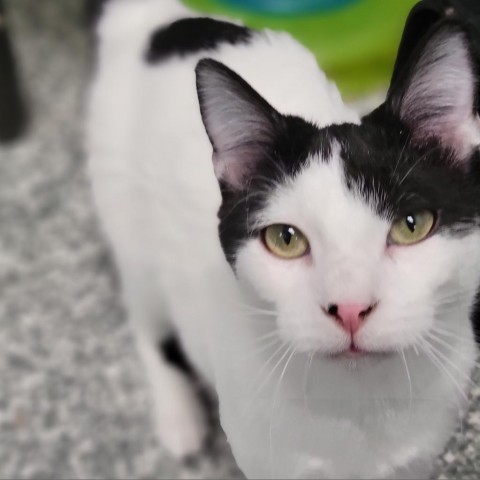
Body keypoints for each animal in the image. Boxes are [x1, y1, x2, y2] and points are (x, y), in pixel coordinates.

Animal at [86, 0, 480, 480]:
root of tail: (152, 22)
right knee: (147, 324)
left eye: (412, 224)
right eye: (285, 239)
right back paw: (177, 416)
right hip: (131, 234)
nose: (350, 308)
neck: (359, 406)